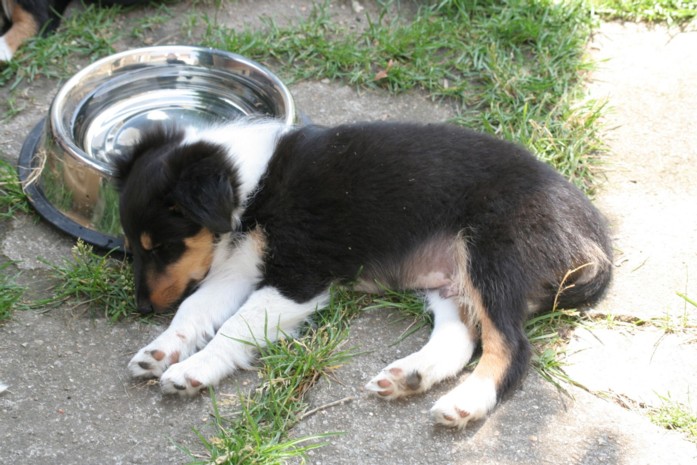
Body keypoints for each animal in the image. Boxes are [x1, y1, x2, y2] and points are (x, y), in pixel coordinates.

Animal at [114, 119, 612, 428]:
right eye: (132, 247)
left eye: (163, 246)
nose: (142, 308)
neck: (247, 184)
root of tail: (593, 232)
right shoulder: (238, 268)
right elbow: (195, 309)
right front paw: (160, 351)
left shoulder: (298, 278)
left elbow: (235, 327)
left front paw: (191, 371)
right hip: (450, 276)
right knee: (461, 338)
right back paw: (410, 376)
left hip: (490, 256)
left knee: (511, 346)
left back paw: (464, 403)